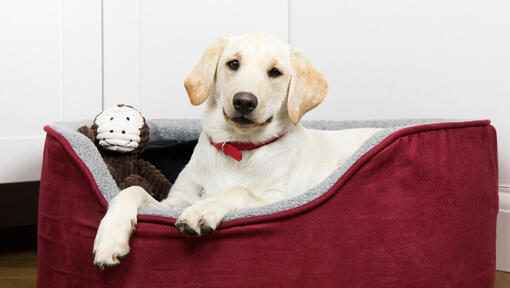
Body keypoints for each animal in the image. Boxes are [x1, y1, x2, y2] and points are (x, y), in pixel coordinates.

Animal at [92, 33, 378, 268]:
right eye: (233, 64)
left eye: (275, 72)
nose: (244, 101)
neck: (238, 148)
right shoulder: (174, 202)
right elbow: (132, 190)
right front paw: (110, 236)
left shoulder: (279, 200)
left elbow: (238, 189)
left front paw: (202, 211)